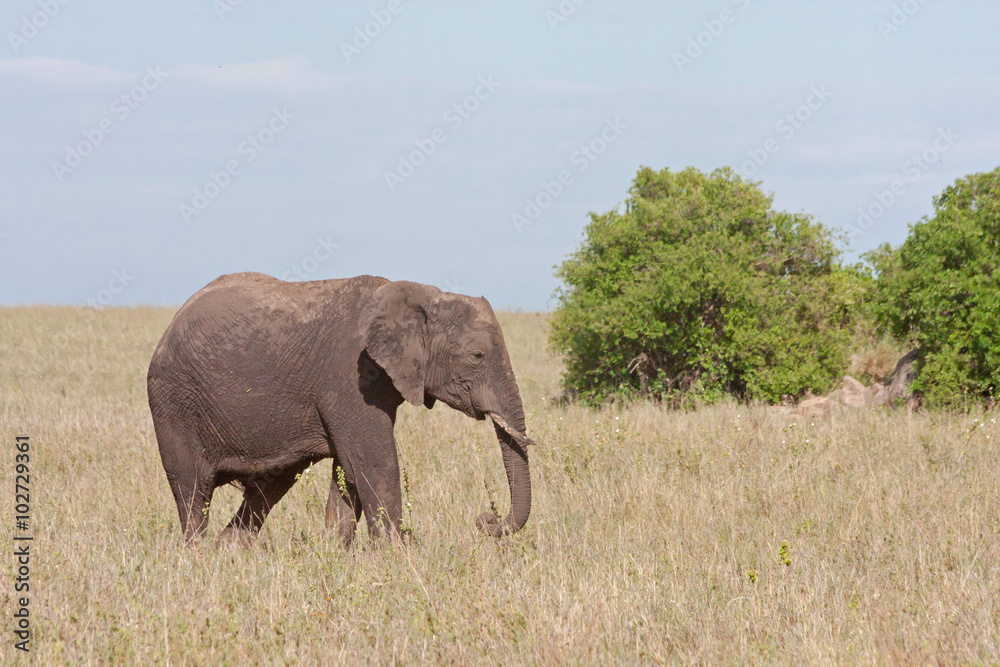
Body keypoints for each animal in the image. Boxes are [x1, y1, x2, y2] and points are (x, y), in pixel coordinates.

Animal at [146, 273, 535, 546]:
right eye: (477, 356)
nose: (486, 519)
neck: (423, 296)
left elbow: (348, 470)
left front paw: (336, 552)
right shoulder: (350, 377)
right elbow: (374, 461)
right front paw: (395, 555)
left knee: (269, 484)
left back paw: (229, 549)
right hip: (174, 402)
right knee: (192, 489)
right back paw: (199, 555)